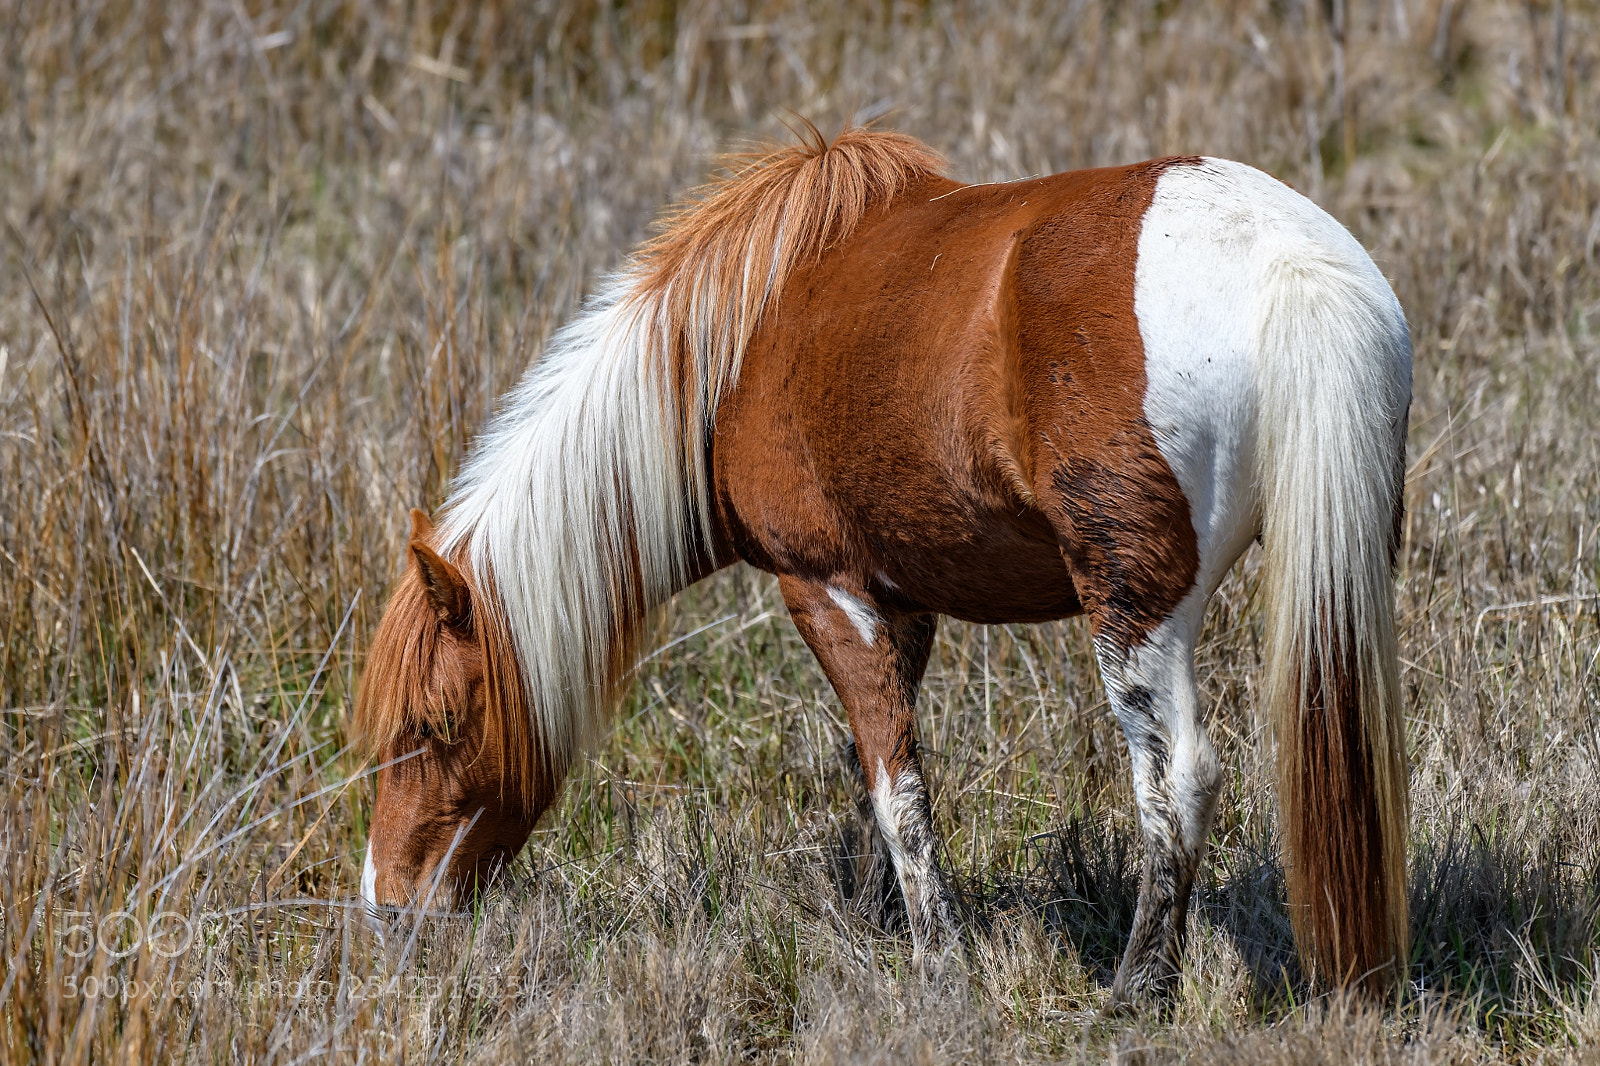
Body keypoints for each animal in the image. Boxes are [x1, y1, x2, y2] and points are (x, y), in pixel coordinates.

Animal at [353, 126, 1412, 1006]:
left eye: (433, 725)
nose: (386, 909)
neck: (740, 343)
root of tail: (1284, 259)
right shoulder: (906, 602)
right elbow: (882, 776)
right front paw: (880, 924)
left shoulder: (828, 588)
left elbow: (898, 786)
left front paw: (940, 965)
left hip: (1134, 606)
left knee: (1179, 779)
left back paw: (1138, 989)